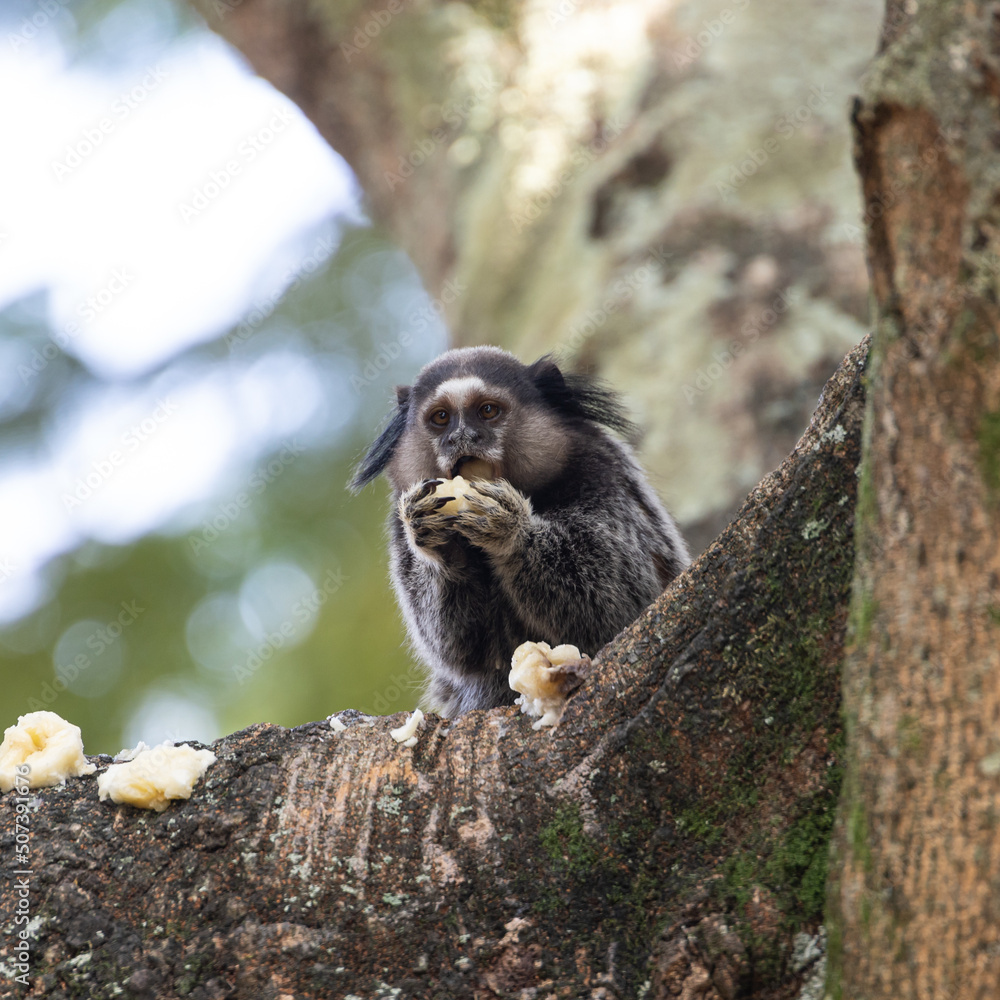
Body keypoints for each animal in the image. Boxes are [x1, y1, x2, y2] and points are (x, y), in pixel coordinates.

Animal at [350, 348, 688, 716]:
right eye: (441, 418)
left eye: (487, 411)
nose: (460, 438)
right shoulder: (401, 518)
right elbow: (459, 650)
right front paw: (444, 547)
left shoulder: (603, 471)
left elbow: (617, 604)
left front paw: (511, 531)